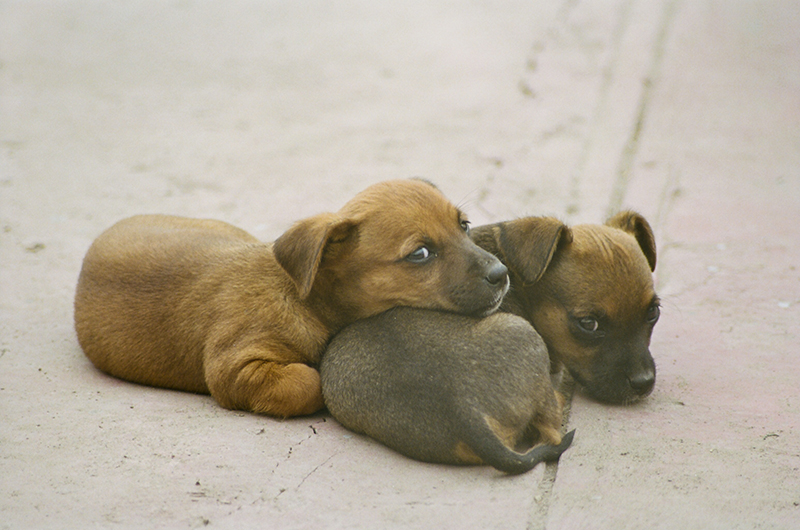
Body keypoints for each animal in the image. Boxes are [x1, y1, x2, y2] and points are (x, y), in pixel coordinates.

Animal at [73, 178, 506, 416]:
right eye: (420, 254)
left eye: (465, 226)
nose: (501, 275)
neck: (307, 301)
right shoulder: (234, 367)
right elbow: (308, 382)